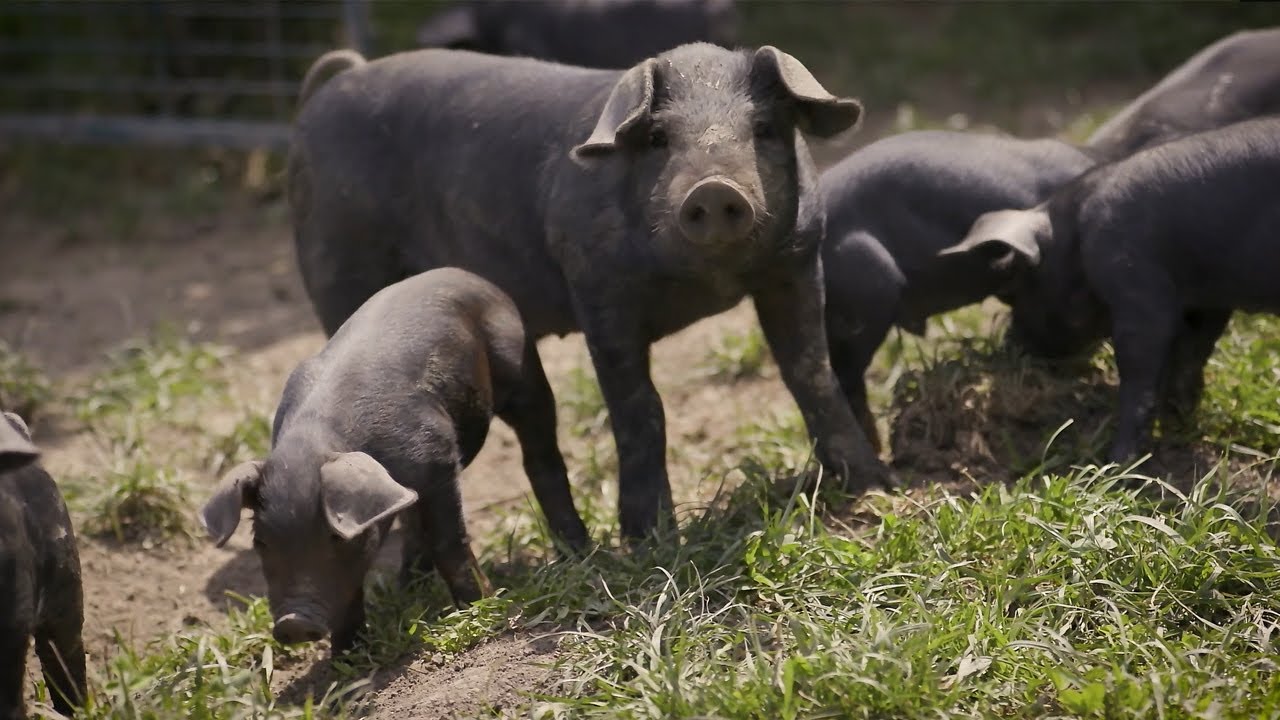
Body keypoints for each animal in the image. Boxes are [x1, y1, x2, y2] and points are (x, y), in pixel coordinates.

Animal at [199, 268, 590, 652]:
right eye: (261, 543)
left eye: (335, 538)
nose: (293, 623)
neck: (316, 440)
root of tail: (470, 275)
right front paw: (348, 657)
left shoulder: (439, 460)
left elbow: (450, 540)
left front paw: (480, 607)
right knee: (413, 522)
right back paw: (407, 590)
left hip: (524, 373)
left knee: (542, 458)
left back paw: (576, 553)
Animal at [289, 43, 888, 542]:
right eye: (658, 138)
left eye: (763, 127)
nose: (714, 188)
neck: (709, 286)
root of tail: (337, 82)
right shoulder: (600, 293)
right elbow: (639, 408)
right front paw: (647, 539)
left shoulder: (797, 262)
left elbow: (810, 371)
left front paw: (872, 484)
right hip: (336, 263)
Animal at [939, 116, 1280, 463]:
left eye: (1015, 292)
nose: (1009, 348)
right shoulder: (1207, 303)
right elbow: (1190, 356)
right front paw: (1180, 427)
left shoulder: (1133, 277)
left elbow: (1139, 371)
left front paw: (1117, 462)